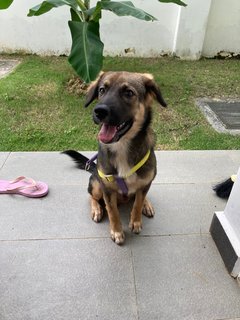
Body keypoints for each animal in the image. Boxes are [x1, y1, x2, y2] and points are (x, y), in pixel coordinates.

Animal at [63, 70, 167, 245]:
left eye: (129, 93)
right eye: (102, 90)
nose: (99, 111)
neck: (122, 146)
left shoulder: (145, 182)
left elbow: (137, 203)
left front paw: (136, 221)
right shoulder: (107, 189)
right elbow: (112, 212)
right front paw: (117, 231)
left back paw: (146, 205)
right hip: (96, 184)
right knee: (91, 196)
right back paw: (97, 209)